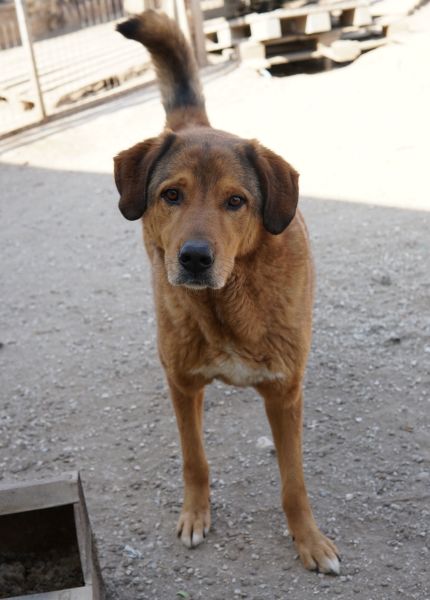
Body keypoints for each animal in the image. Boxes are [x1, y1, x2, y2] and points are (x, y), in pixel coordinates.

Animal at [114, 10, 340, 575]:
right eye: (172, 195)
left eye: (236, 202)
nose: (194, 258)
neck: (227, 305)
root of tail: (193, 125)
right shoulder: (182, 384)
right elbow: (194, 459)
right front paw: (195, 514)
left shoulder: (284, 393)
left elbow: (293, 482)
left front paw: (309, 540)